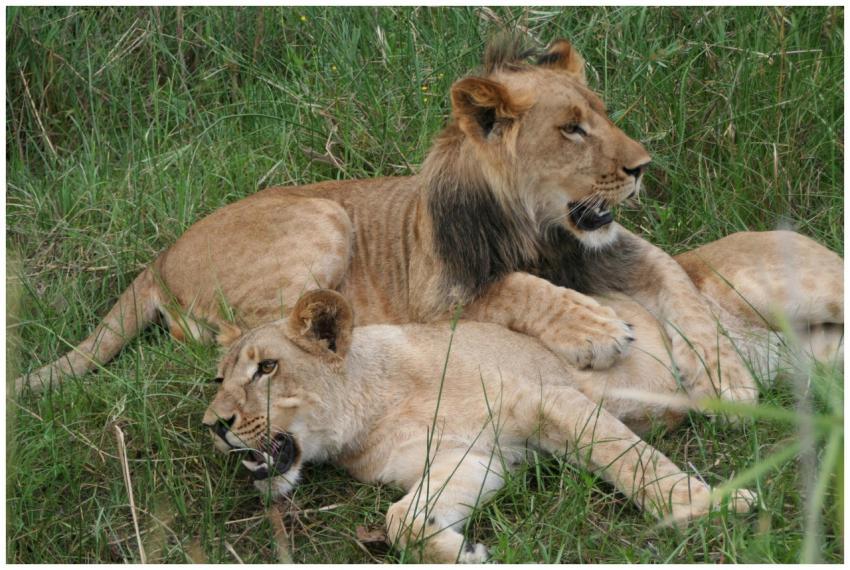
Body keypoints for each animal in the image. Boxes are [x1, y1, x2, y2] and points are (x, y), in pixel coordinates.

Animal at [18, 38, 842, 406]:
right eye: (572, 129)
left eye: (604, 117)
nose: (642, 166)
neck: (544, 229)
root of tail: (157, 258)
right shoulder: (436, 294)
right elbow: (516, 288)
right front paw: (595, 330)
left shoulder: (620, 249)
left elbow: (684, 294)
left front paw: (726, 375)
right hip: (320, 216)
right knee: (240, 335)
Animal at [202, 276, 840, 563]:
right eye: (219, 379)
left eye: (266, 368)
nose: (215, 424)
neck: (370, 413)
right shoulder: (475, 456)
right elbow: (402, 518)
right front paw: (461, 551)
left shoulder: (547, 399)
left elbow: (634, 462)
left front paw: (708, 507)